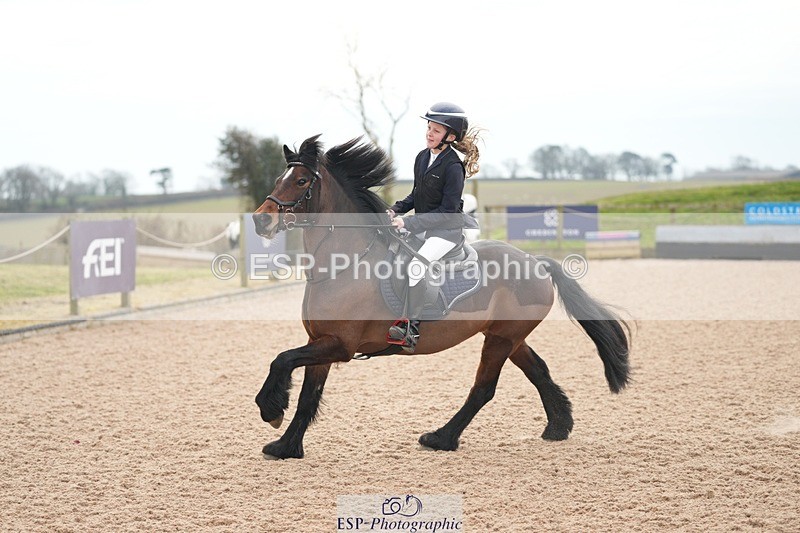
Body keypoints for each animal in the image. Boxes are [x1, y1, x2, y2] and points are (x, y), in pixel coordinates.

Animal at [252, 135, 631, 459]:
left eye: (302, 181)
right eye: (280, 178)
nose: (260, 222)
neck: (344, 264)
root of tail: (534, 261)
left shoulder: (339, 344)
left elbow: (281, 360)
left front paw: (271, 409)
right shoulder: (320, 340)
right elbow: (307, 394)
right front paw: (286, 446)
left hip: (501, 339)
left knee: (484, 389)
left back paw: (441, 437)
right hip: (508, 335)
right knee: (537, 370)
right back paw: (558, 427)